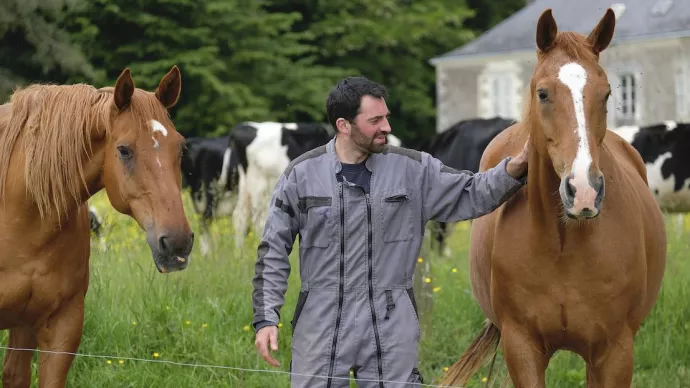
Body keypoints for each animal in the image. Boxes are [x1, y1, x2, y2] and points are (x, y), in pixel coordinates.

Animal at [438, 6, 664, 388]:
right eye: (543, 93)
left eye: (606, 94)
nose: (584, 191)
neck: (562, 244)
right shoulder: (522, 348)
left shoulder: (615, 352)